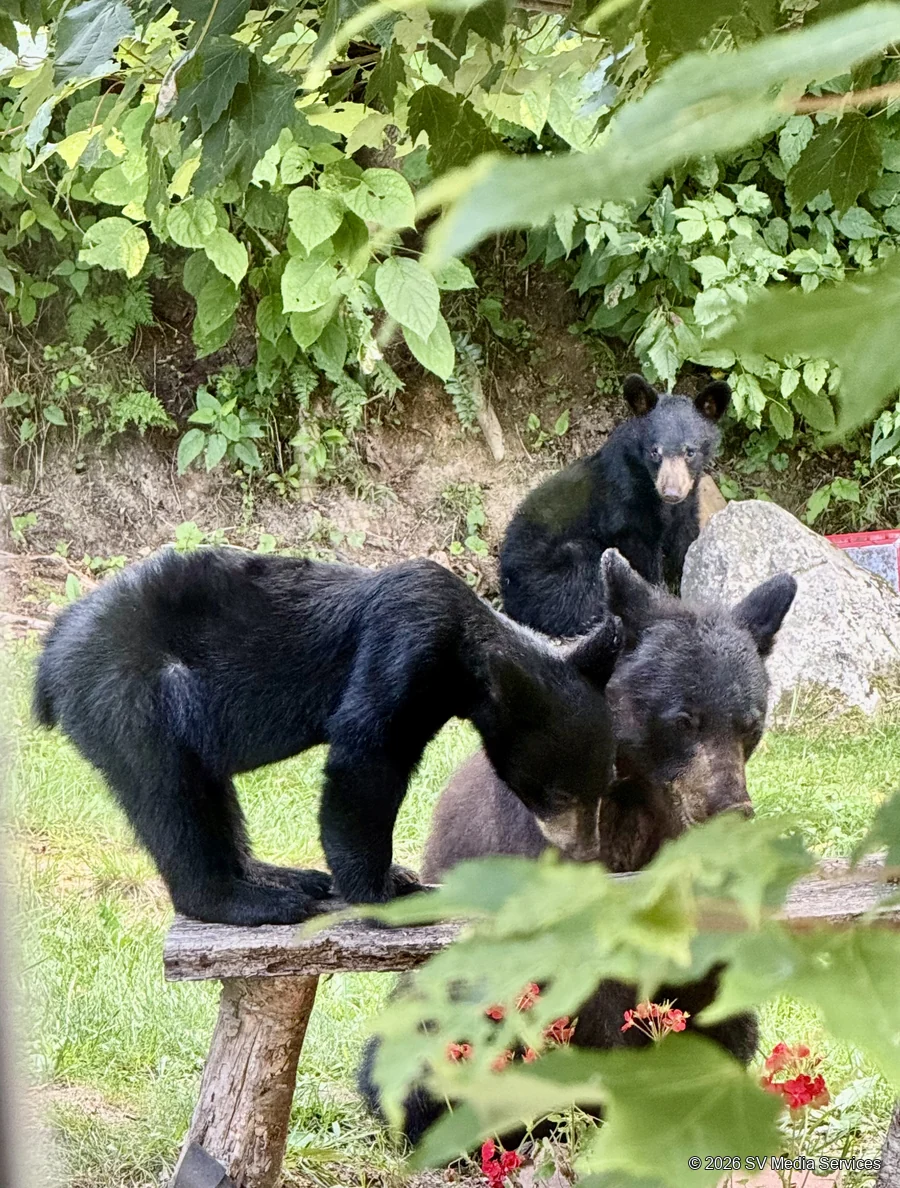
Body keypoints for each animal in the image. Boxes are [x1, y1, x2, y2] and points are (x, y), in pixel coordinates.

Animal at [33, 547, 623, 926]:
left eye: (605, 785)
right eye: (560, 793)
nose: (588, 852)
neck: (466, 650)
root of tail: (51, 652)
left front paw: (397, 878)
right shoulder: (403, 648)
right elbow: (364, 761)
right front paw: (385, 895)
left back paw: (281, 877)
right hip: (132, 698)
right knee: (171, 799)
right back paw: (250, 901)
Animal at [499, 373, 731, 637]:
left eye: (690, 451)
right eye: (655, 452)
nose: (671, 492)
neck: (652, 492)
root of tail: (507, 593)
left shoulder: (686, 507)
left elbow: (685, 539)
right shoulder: (624, 508)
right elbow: (640, 557)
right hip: (557, 569)